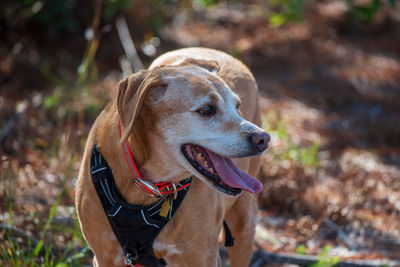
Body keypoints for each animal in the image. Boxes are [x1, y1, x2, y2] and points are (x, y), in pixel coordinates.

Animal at [76, 47, 268, 266]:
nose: (264, 139)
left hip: (244, 223)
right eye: (207, 109)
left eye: (237, 107)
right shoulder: (105, 256)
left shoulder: (202, 257)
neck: (148, 186)